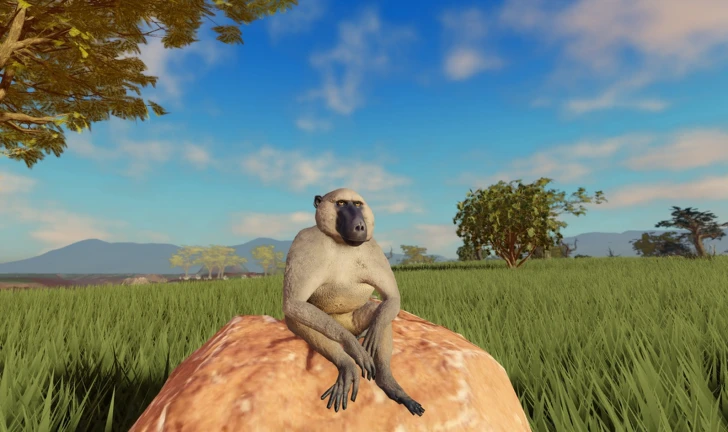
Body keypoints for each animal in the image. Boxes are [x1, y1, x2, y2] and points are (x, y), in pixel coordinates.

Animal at [282, 188, 425, 416]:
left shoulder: (373, 248)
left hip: (354, 321)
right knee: (299, 320)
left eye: (357, 205)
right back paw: (347, 363)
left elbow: (391, 298)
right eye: (341, 203)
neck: (342, 244)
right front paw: (351, 346)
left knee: (379, 315)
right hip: (333, 324)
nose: (359, 226)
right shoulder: (303, 241)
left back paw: (389, 383)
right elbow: (293, 303)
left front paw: (373, 335)